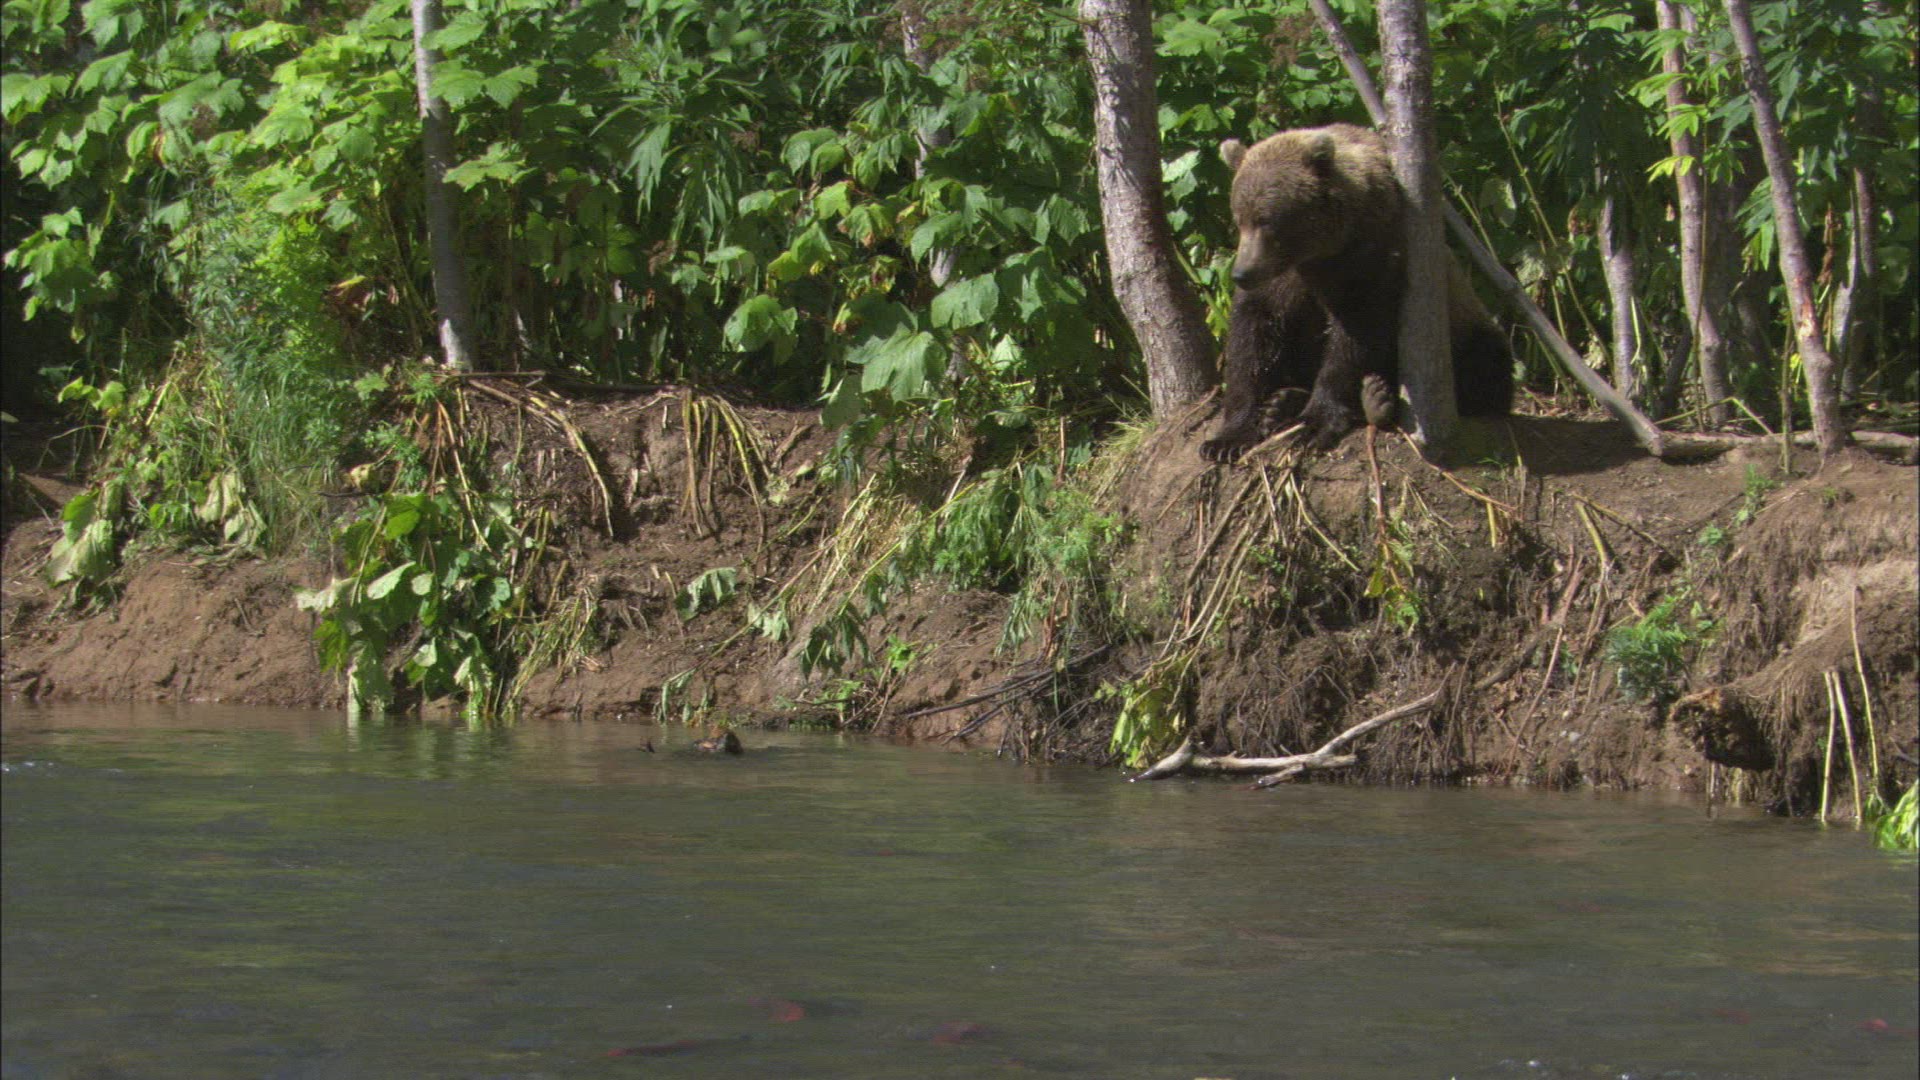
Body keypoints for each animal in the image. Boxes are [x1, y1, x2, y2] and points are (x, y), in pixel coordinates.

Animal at [1201, 123, 1513, 462]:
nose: (1242, 273)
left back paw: (1375, 399)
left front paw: (1315, 424)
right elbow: (1253, 340)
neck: (1318, 251)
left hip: (1465, 322)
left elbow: (1355, 335)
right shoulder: (1280, 283)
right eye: (1239, 218)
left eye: (1267, 220)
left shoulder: (1367, 258)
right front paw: (1227, 438)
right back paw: (1282, 403)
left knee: (1484, 364)